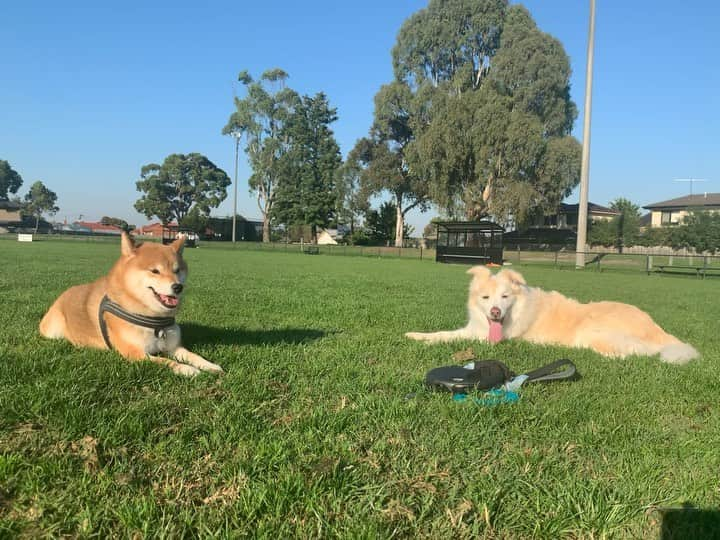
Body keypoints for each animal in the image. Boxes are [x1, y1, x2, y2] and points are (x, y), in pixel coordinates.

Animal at [39, 231, 224, 376]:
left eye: (177, 270)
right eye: (155, 271)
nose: (178, 287)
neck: (154, 321)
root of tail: (64, 293)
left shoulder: (174, 347)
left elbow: (194, 356)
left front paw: (210, 365)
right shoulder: (135, 353)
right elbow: (166, 361)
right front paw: (187, 369)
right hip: (52, 331)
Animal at [404, 264, 696, 362]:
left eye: (505, 297)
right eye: (486, 298)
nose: (495, 312)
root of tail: (657, 329)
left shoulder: (487, 338)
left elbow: (450, 338)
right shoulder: (473, 329)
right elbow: (442, 333)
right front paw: (417, 335)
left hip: (591, 332)